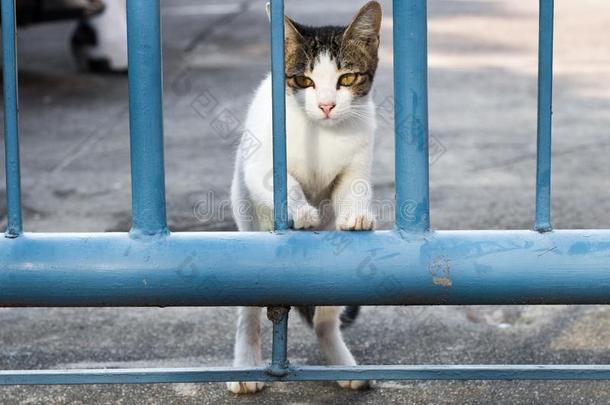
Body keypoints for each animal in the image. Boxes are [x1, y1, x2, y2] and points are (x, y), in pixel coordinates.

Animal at [228, 0, 380, 392]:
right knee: (248, 314)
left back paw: (343, 365)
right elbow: (284, 183)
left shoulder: (359, 155)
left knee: (325, 320)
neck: (322, 134)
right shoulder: (261, 163)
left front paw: (357, 213)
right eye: (303, 81)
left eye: (347, 79)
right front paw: (301, 210)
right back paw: (245, 366)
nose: (326, 106)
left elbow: (353, 185)